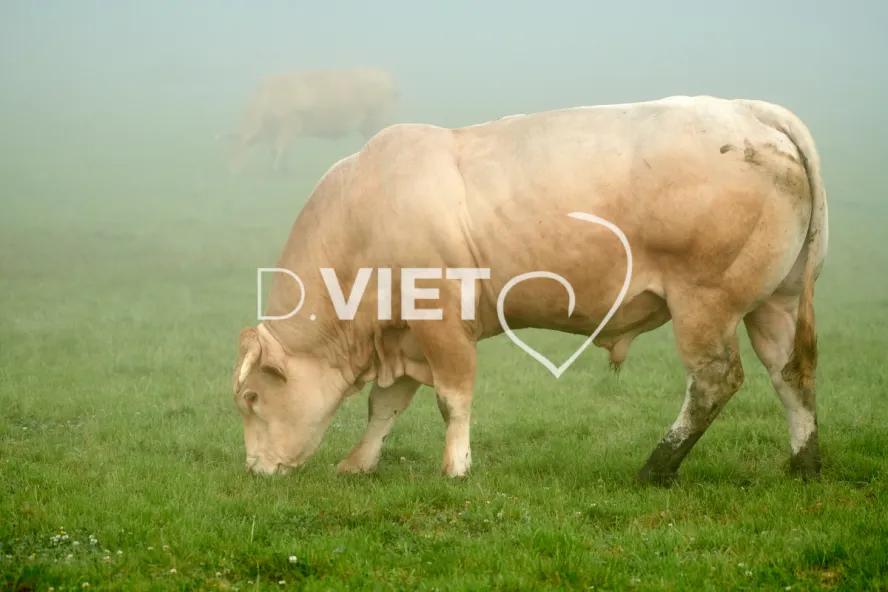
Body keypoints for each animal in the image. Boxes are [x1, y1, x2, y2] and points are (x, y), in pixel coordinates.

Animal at [216, 67, 399, 174]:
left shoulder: (290, 125)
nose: (230, 172)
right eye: (228, 151)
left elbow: (279, 148)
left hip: (378, 120)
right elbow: (280, 149)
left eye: (236, 151)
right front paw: (282, 168)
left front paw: (275, 169)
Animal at [231, 95, 829, 485]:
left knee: (714, 382)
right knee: (791, 375)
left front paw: (455, 468)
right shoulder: (401, 333)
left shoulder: (440, 321)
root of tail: (753, 110)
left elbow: (451, 398)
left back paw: (656, 467)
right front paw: (358, 463)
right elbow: (386, 406)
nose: (255, 469)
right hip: (774, 302)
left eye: (252, 399)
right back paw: (803, 463)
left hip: (705, 303)